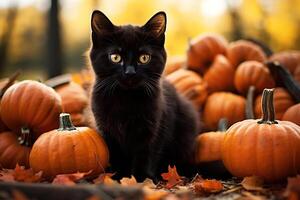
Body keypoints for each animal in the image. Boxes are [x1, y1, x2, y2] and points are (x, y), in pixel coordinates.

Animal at [90, 9, 200, 181]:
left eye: (144, 58)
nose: (130, 72)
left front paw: (142, 178)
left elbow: (146, 153)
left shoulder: (153, 127)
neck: (126, 100)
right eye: (115, 57)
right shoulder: (106, 129)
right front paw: (118, 176)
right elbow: (115, 154)